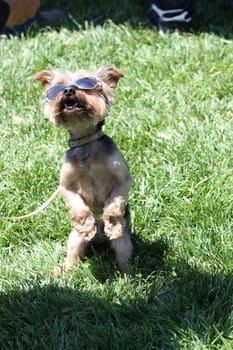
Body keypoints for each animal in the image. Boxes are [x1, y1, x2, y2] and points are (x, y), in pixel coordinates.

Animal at [34, 67, 133, 274]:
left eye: (86, 84)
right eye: (59, 86)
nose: (68, 90)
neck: (86, 142)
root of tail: (100, 240)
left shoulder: (123, 179)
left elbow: (115, 203)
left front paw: (112, 223)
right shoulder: (66, 184)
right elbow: (77, 206)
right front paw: (86, 226)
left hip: (124, 242)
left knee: (123, 255)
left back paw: (126, 274)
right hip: (74, 239)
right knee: (73, 255)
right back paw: (62, 270)